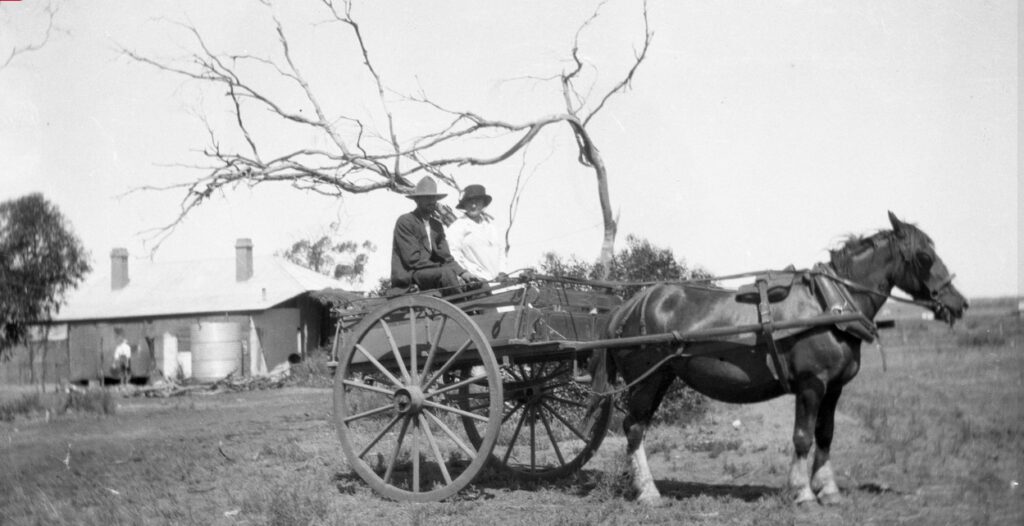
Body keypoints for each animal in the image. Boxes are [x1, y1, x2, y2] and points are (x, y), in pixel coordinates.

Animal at [593, 211, 966, 503]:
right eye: (924, 257)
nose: (959, 303)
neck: (830, 304)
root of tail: (628, 306)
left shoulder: (833, 388)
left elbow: (825, 434)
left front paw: (828, 489)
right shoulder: (811, 384)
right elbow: (803, 437)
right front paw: (802, 492)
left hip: (662, 378)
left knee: (637, 427)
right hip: (647, 380)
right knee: (634, 429)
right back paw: (648, 492)